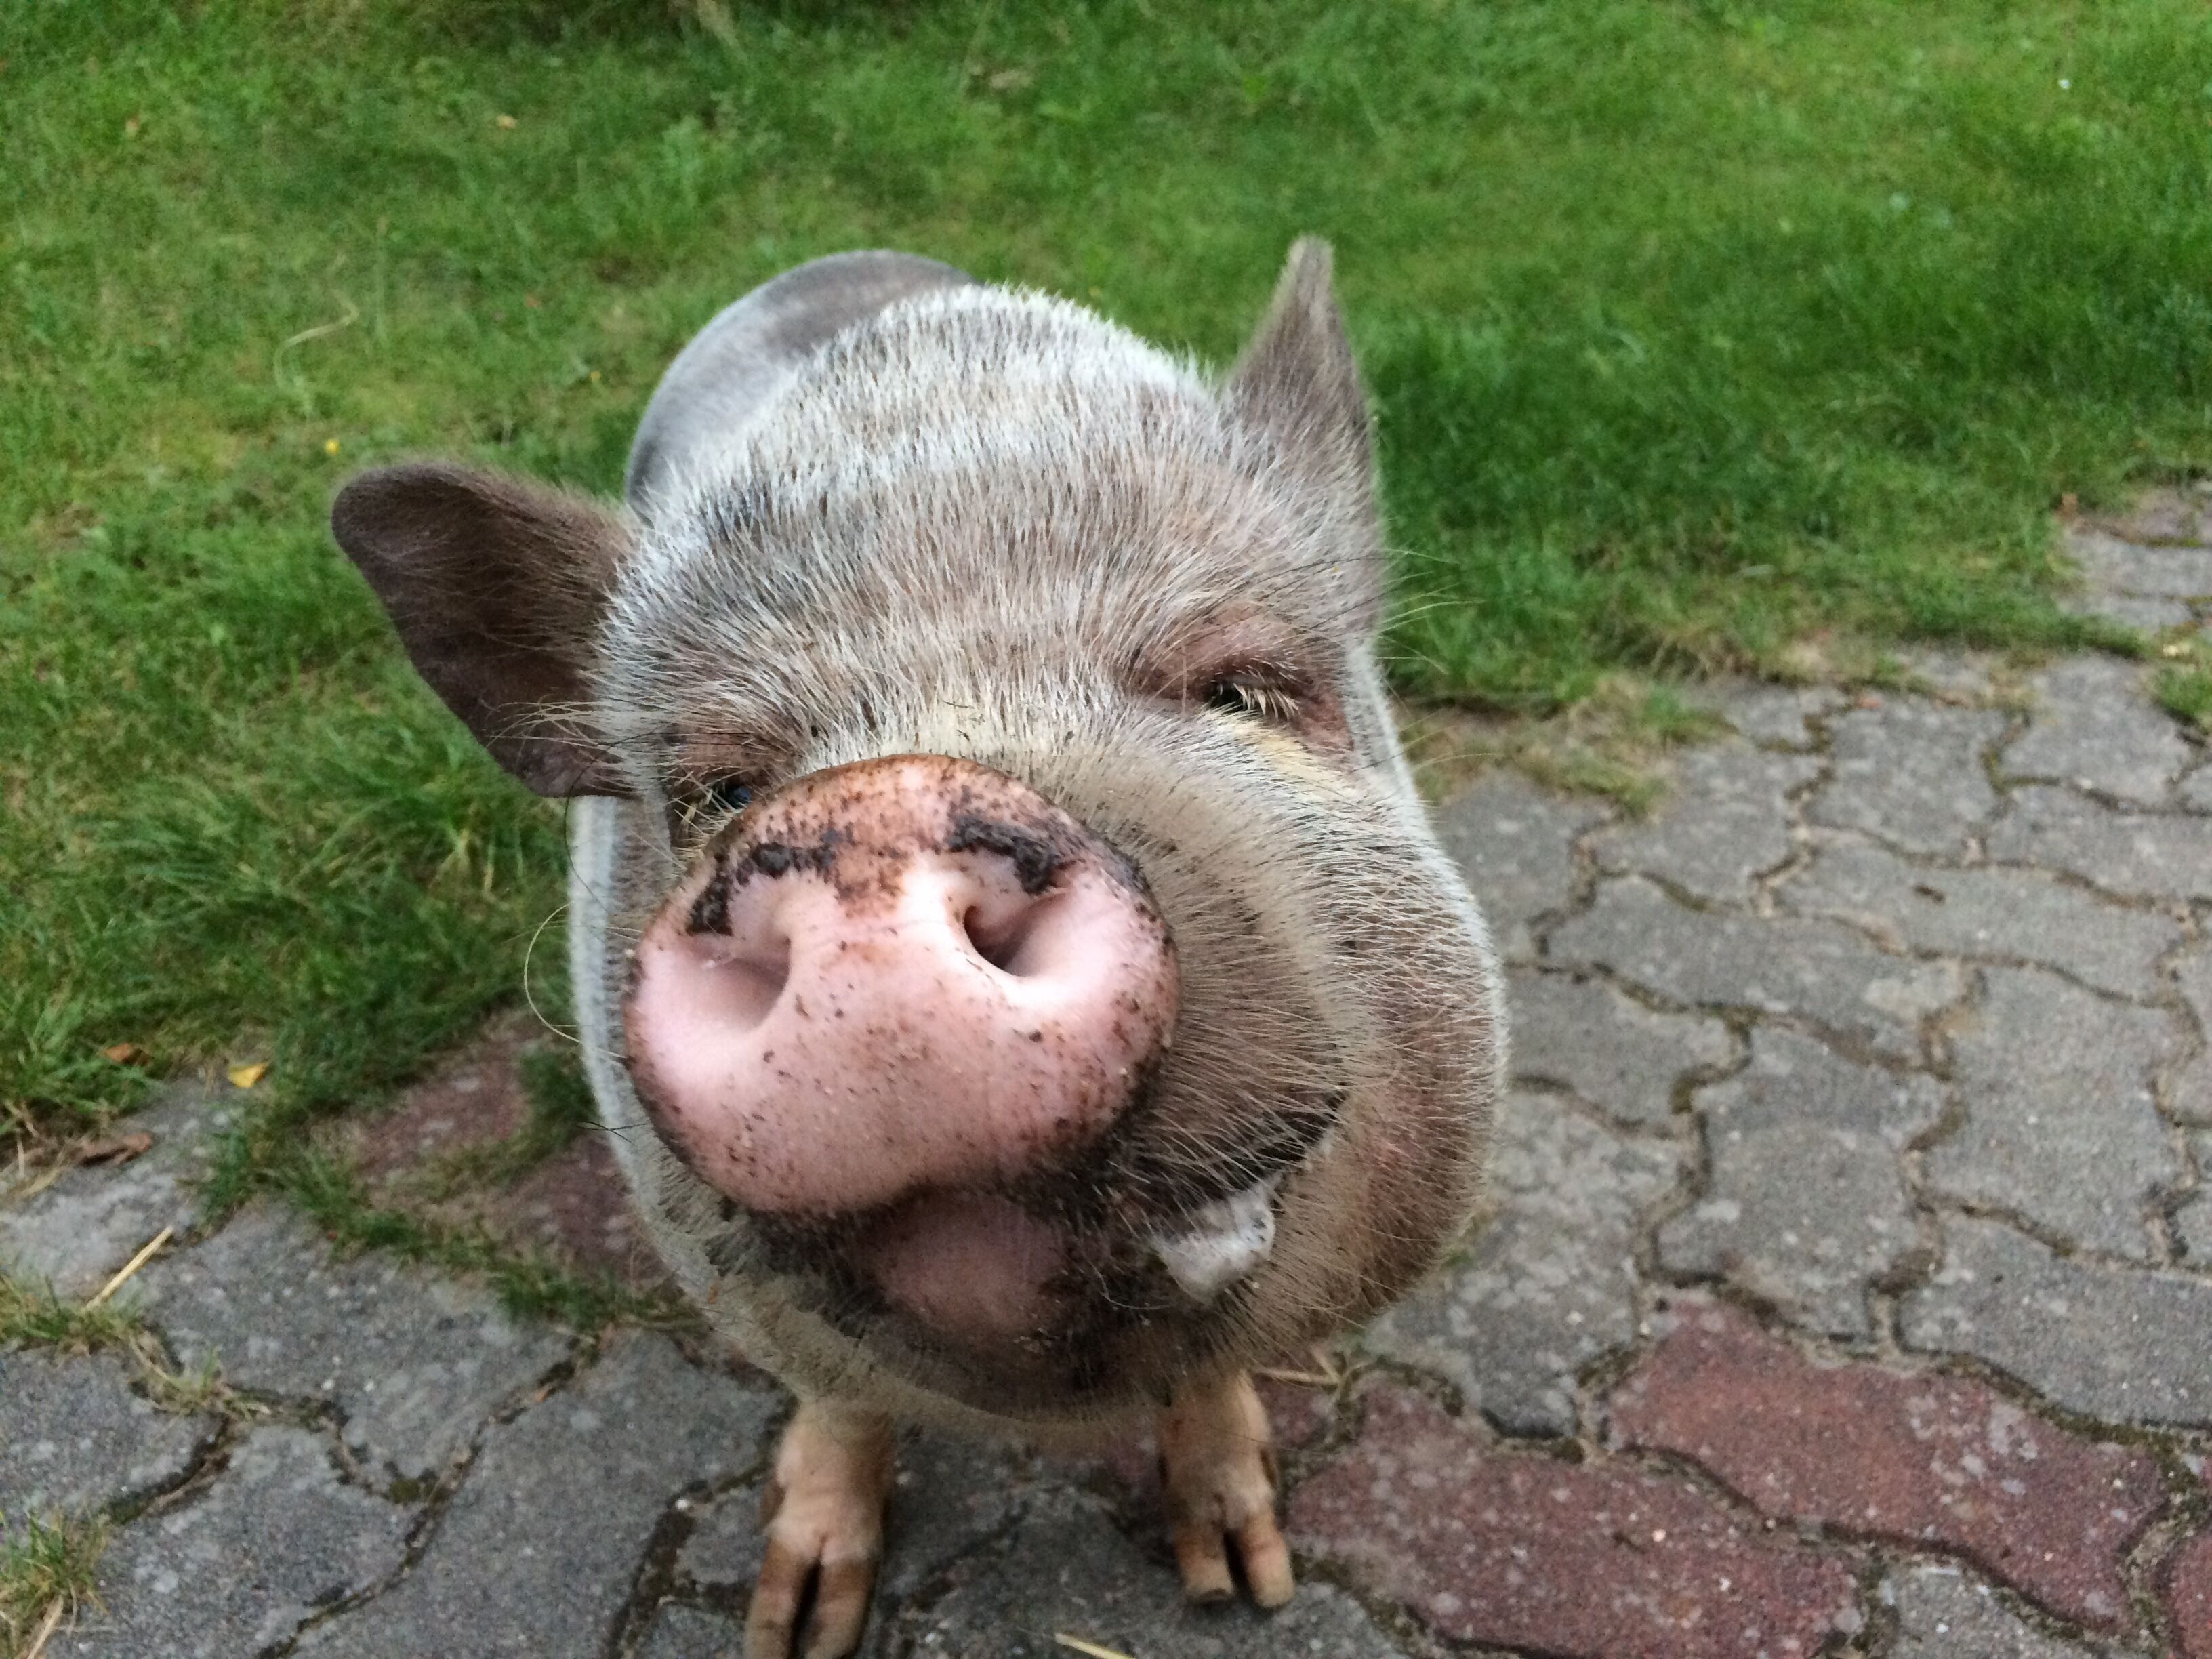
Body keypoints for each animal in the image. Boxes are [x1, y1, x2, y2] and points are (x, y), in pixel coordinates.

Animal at [331, 242, 1504, 1658]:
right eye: (719, 792)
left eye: (1241, 689)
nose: (870, 811)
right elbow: (837, 1405)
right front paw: (792, 1622)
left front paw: (1242, 1583)